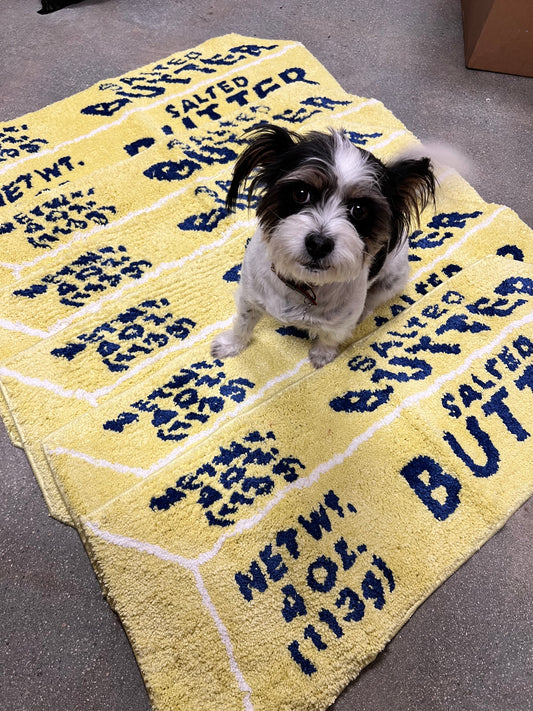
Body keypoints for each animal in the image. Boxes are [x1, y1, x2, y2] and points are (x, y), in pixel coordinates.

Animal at [211, 124, 436, 368]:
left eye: (359, 210)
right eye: (301, 193)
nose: (318, 244)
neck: (302, 283)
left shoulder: (339, 322)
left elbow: (330, 337)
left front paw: (321, 356)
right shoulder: (249, 295)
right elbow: (243, 323)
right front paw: (230, 345)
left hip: (392, 280)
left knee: (372, 301)